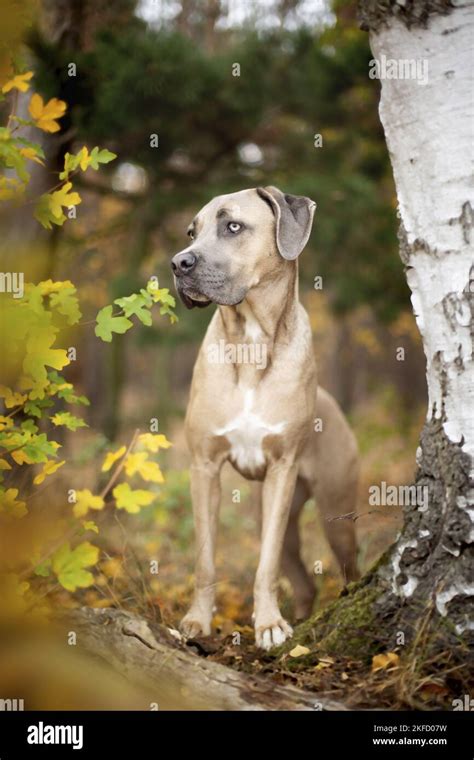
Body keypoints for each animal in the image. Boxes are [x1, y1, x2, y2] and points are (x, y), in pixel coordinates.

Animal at [172, 187, 358, 652]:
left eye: (233, 226)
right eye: (191, 232)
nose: (178, 263)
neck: (250, 340)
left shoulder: (282, 470)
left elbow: (266, 564)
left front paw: (269, 624)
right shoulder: (204, 467)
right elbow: (205, 560)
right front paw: (198, 621)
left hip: (334, 512)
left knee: (347, 566)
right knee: (304, 579)